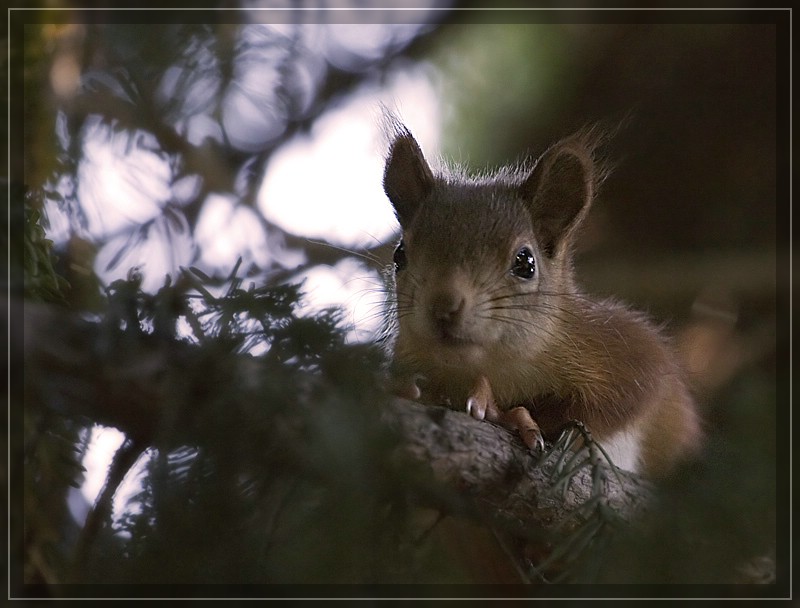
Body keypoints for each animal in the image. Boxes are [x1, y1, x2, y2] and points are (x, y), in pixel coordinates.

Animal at [382, 121, 700, 478]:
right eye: (399, 255)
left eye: (525, 262)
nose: (443, 306)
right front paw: (408, 390)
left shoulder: (626, 354)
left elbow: (611, 405)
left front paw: (505, 412)